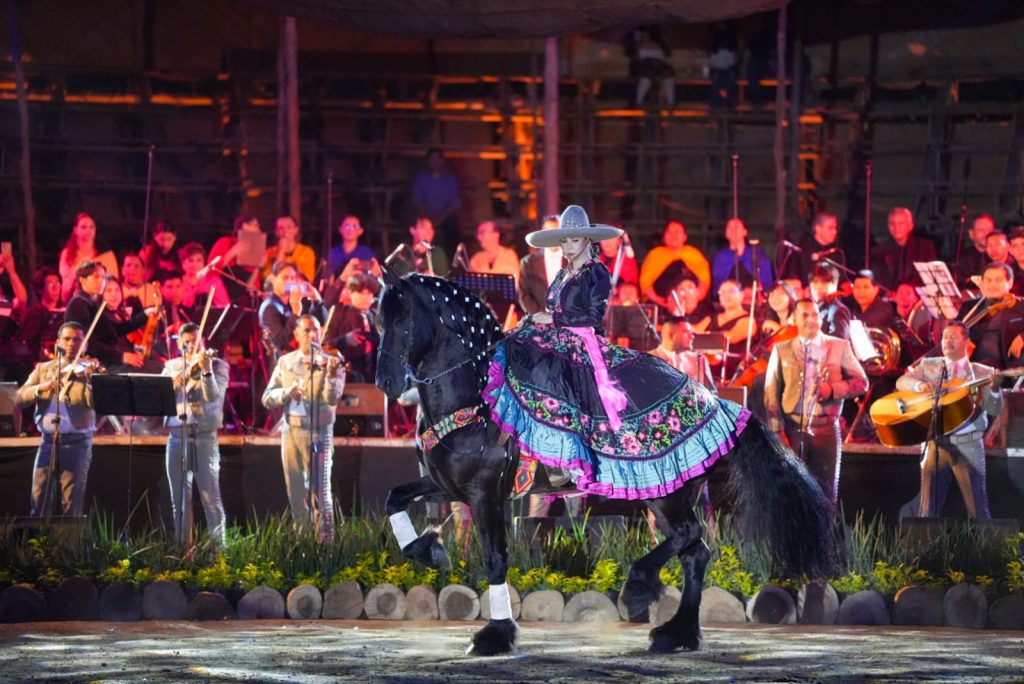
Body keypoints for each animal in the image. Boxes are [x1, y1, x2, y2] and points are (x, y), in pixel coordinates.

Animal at [375, 269, 842, 656]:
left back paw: (639, 590)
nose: (386, 382)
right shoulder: (446, 484)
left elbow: (494, 558)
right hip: (666, 493)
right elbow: (393, 498)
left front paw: (495, 636)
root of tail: (718, 402)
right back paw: (677, 634)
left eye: (403, 321)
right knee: (695, 553)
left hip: (667, 494)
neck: (472, 396)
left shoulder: (485, 492)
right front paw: (429, 549)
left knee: (690, 538)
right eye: (379, 322)